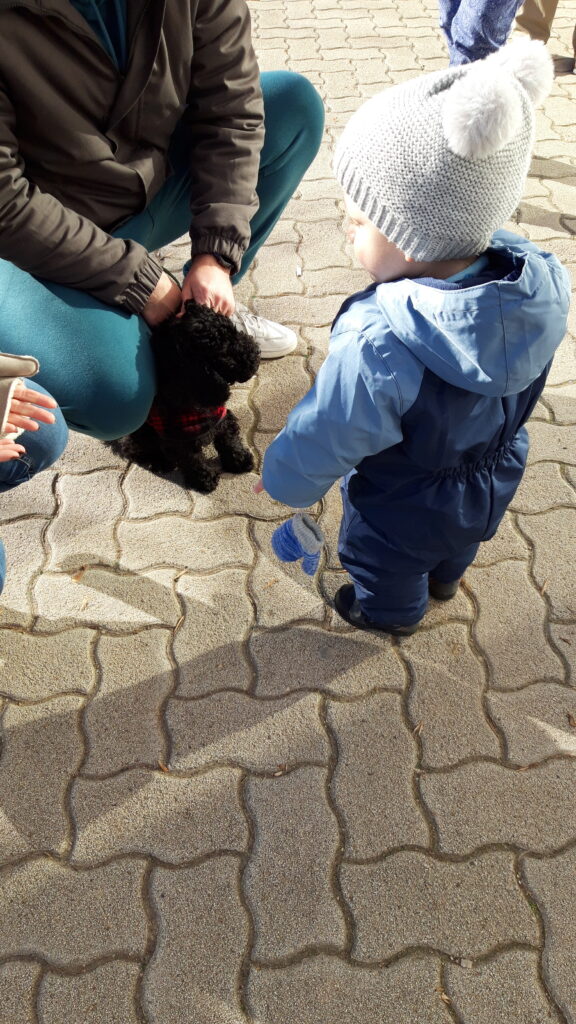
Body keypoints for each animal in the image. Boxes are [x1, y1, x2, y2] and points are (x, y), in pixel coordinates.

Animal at [109, 300, 261, 493]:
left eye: (234, 330)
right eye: (225, 349)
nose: (256, 353)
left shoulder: (223, 418)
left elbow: (229, 440)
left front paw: (240, 460)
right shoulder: (178, 441)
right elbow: (192, 460)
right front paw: (204, 480)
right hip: (139, 432)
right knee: (138, 450)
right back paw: (161, 462)